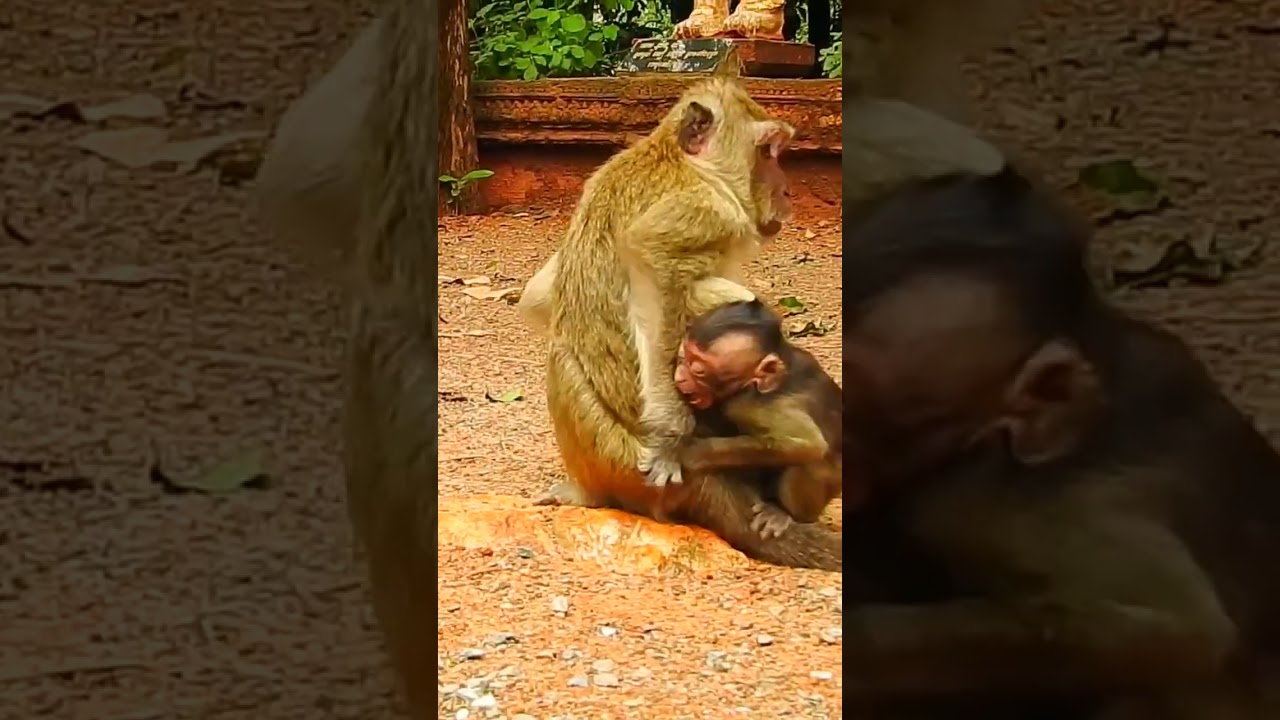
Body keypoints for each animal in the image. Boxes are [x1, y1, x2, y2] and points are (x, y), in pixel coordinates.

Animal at [671, 299, 844, 539]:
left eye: (697, 370)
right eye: (683, 357)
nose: (679, 377)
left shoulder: (747, 403)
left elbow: (806, 445)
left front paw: (691, 453)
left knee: (809, 461)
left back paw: (784, 512)